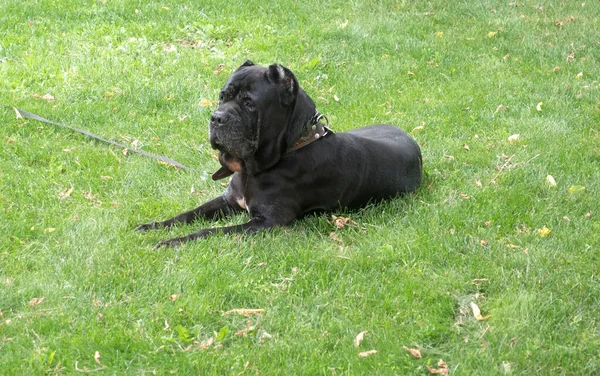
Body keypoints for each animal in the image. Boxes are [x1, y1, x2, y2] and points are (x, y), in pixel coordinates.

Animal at [138, 60, 424, 248]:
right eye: (222, 96)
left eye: (249, 103)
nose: (216, 118)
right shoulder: (229, 200)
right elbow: (190, 214)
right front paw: (153, 226)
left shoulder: (265, 221)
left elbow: (210, 231)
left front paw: (173, 241)